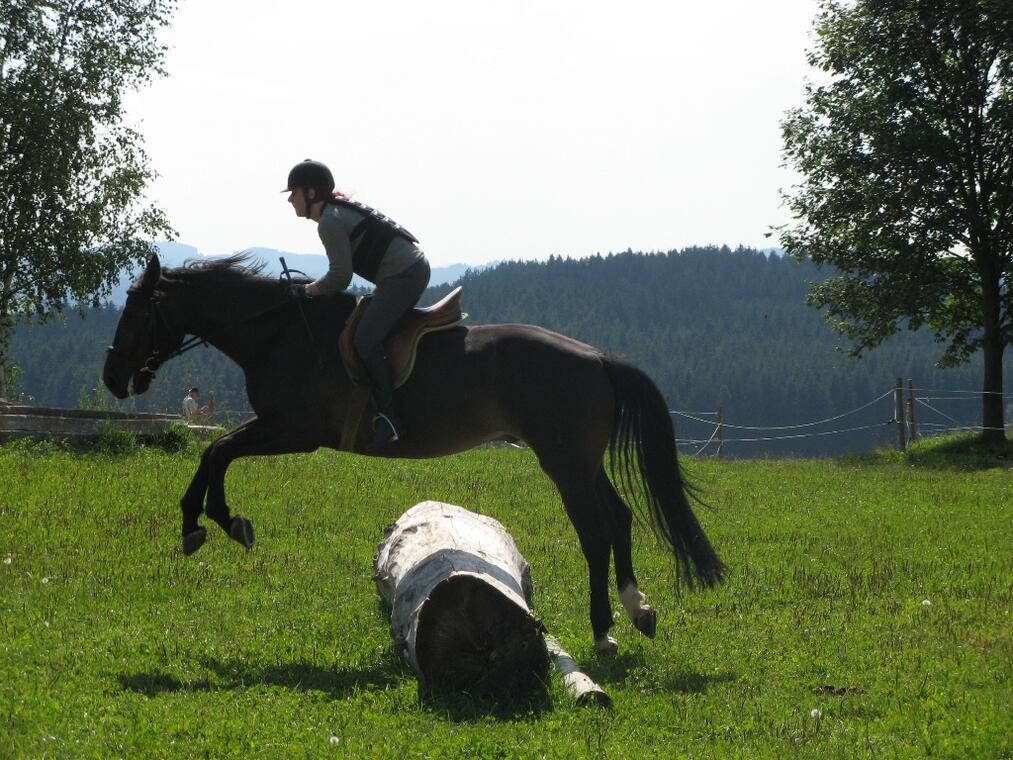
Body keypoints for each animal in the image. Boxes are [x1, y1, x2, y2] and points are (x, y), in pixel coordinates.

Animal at [102, 259, 725, 652]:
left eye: (134, 315)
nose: (112, 379)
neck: (278, 334)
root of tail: (597, 356)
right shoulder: (279, 429)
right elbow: (215, 452)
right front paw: (213, 521)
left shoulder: (293, 431)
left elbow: (219, 450)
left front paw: (210, 521)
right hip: (581, 461)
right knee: (619, 518)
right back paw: (638, 609)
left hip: (565, 462)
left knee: (595, 531)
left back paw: (603, 631)